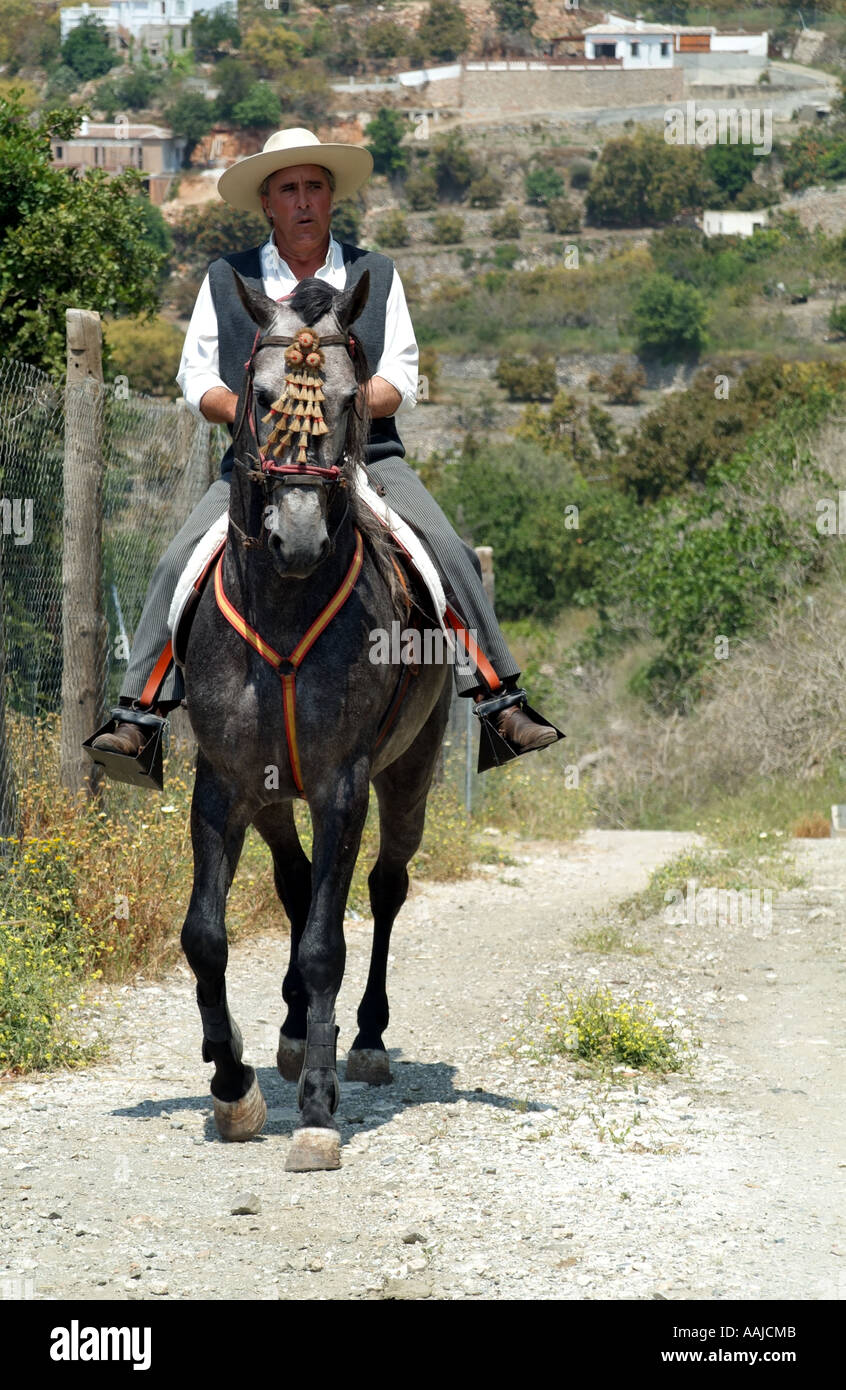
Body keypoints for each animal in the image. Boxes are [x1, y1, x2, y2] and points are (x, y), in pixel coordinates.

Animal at [179, 269, 452, 1171]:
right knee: (297, 886)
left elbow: (329, 940)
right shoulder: (224, 785)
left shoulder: (343, 785)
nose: (295, 538)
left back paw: (360, 1040)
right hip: (271, 795)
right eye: (262, 397)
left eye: (345, 399)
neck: (288, 605)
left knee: (386, 887)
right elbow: (206, 936)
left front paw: (319, 1110)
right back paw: (297, 1033)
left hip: (411, 774)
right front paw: (232, 1085)